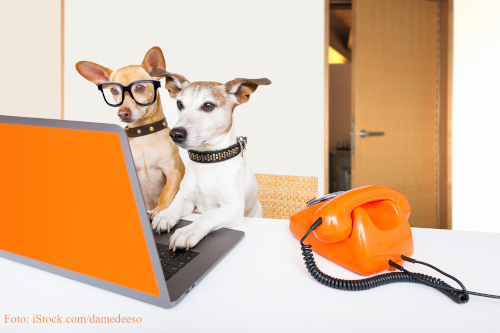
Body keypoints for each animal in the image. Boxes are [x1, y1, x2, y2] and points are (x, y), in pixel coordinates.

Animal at [77, 47, 187, 218]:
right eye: (114, 90)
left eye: (139, 88)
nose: (123, 113)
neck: (144, 136)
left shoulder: (172, 173)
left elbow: (166, 193)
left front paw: (160, 210)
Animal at [150, 67, 272, 249]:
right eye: (180, 104)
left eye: (208, 106)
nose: (175, 134)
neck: (208, 160)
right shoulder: (187, 199)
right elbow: (175, 204)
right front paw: (164, 215)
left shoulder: (233, 207)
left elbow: (207, 215)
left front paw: (187, 231)